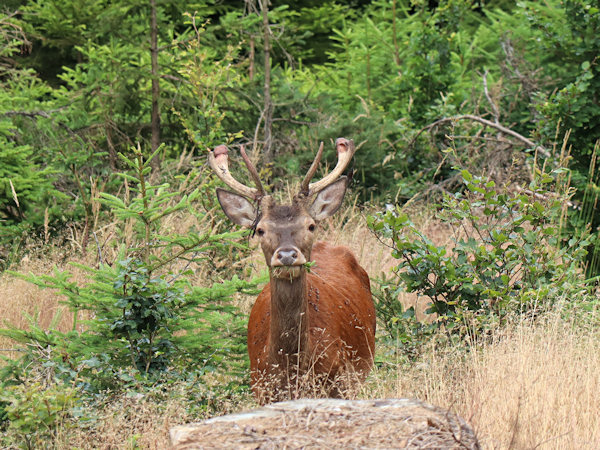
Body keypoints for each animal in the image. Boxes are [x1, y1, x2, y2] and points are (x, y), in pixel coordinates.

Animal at [207, 138, 376, 404]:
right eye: (260, 229)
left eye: (311, 225)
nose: (287, 255)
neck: (291, 368)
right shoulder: (261, 387)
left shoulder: (339, 383)